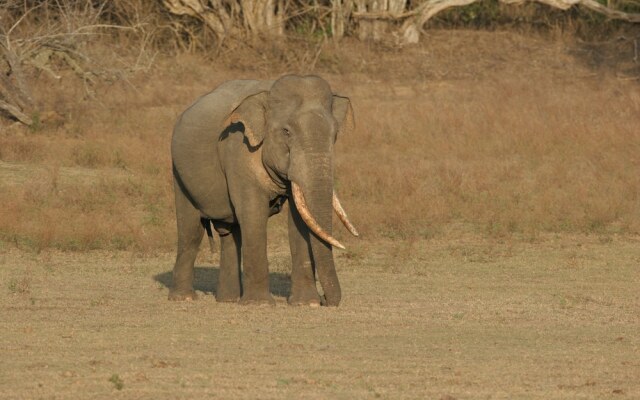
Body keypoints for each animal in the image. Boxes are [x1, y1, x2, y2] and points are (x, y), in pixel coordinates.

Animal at [170, 74, 358, 306]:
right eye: (286, 132)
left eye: (335, 135)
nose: (325, 299)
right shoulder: (239, 150)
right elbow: (253, 214)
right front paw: (259, 303)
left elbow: (299, 221)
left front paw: (306, 303)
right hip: (179, 174)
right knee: (191, 231)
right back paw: (184, 298)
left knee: (229, 233)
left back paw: (228, 300)